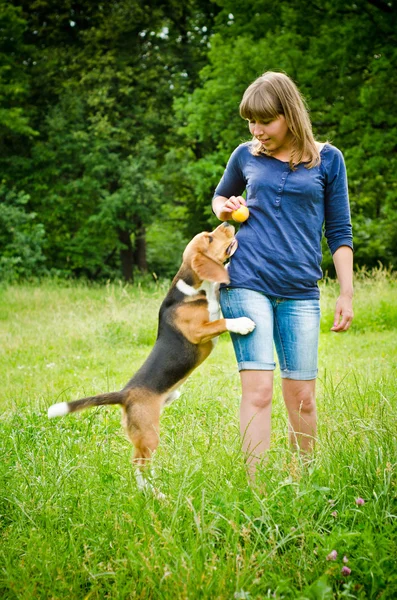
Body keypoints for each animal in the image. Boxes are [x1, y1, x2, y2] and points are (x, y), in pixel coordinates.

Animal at [48, 223, 255, 494]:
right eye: (209, 238)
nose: (228, 224)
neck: (196, 288)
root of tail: (125, 394)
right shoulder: (199, 331)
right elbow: (221, 321)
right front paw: (242, 323)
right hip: (148, 433)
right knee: (138, 463)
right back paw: (152, 492)